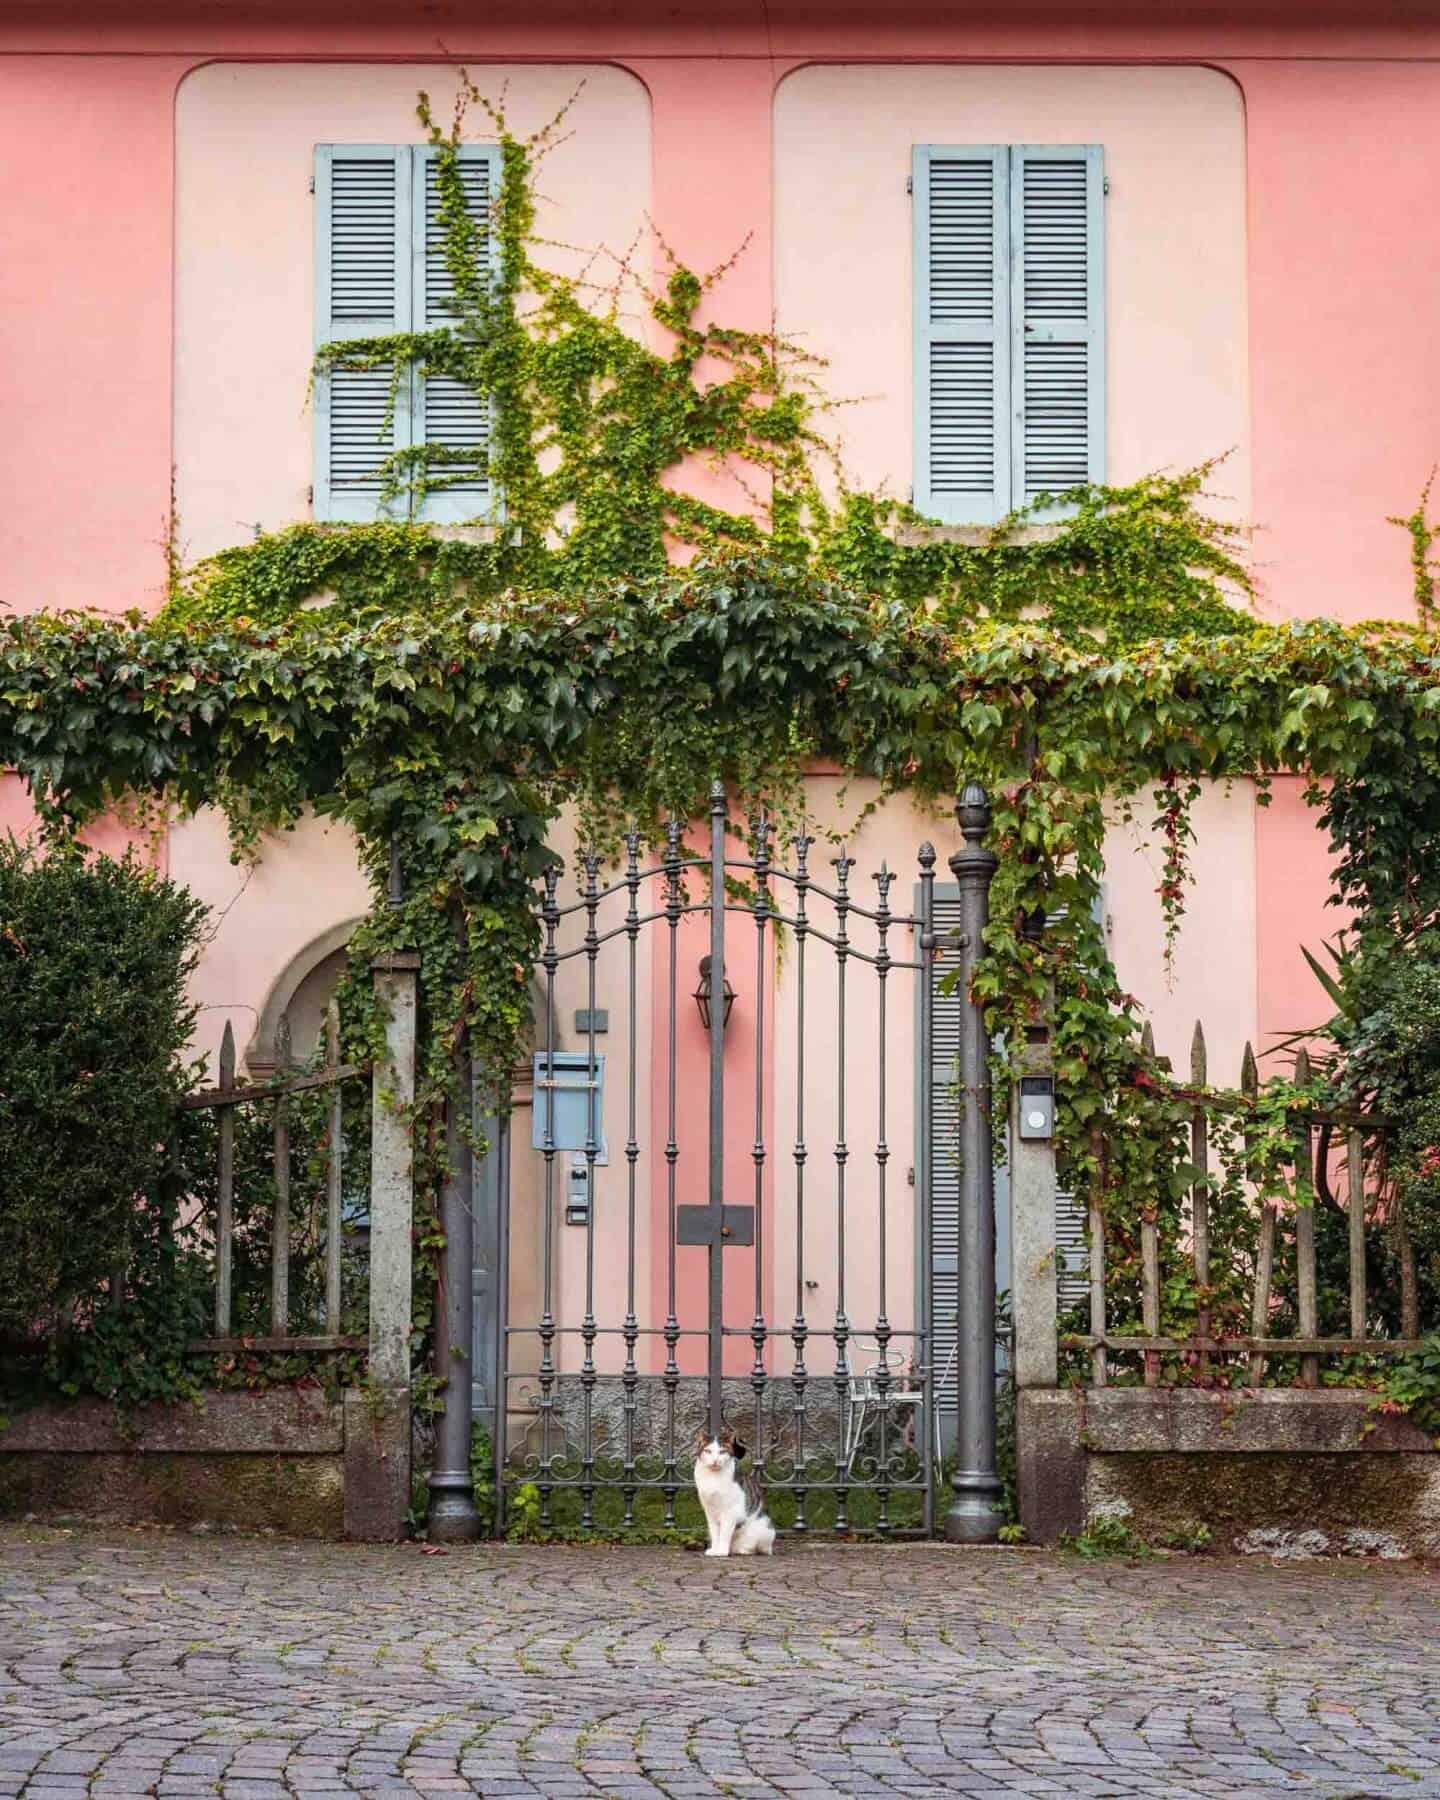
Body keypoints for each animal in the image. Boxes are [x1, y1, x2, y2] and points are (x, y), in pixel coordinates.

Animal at [694, 1425, 777, 1555]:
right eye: (708, 1451)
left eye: (722, 1451)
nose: (715, 1460)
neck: (713, 1477)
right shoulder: (710, 1512)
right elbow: (715, 1533)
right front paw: (715, 1550)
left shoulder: (730, 1512)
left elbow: (724, 1533)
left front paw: (721, 1551)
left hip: (764, 1527)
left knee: (758, 1548)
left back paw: (741, 1550)